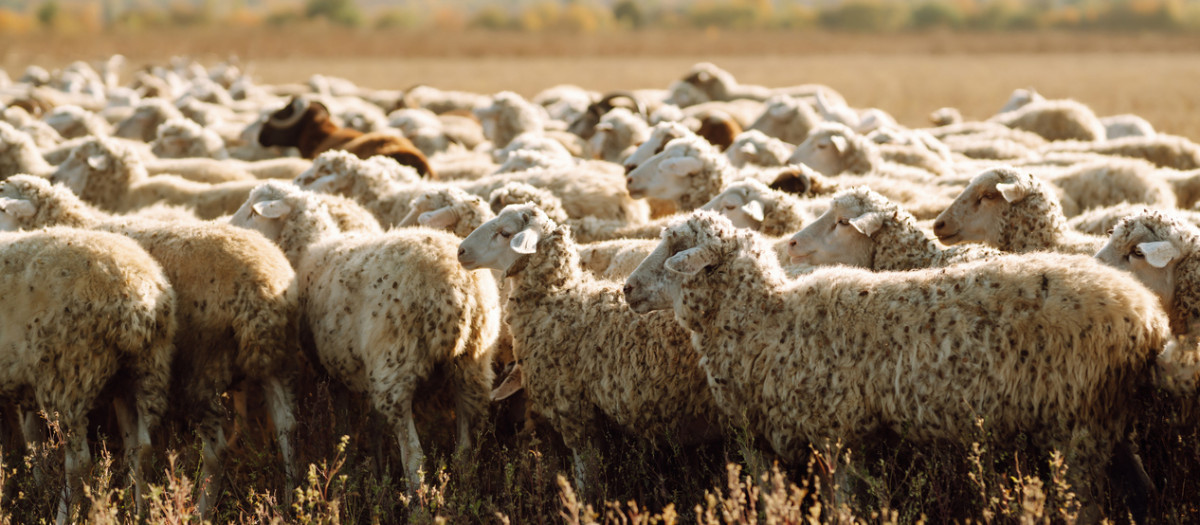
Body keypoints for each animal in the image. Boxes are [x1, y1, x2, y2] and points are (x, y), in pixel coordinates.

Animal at [0, 227, 175, 522]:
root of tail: (138, 291)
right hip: (144, 371)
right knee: (141, 449)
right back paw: (137, 514)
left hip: (67, 375)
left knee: (79, 464)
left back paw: (64, 517)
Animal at [230, 181, 499, 491]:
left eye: (253, 212)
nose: (229, 227)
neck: (309, 249)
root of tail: (459, 289)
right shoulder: (366, 368)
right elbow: (373, 426)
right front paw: (377, 472)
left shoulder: (332, 370)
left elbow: (342, 425)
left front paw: (345, 468)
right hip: (472, 365)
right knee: (464, 451)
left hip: (396, 367)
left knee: (414, 457)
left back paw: (416, 499)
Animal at [622, 210, 1170, 510]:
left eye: (675, 248)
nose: (627, 288)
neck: (768, 320)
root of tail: (1148, 316)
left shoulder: (836, 431)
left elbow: (843, 505)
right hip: (1107, 420)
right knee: (1141, 490)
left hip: (1078, 424)